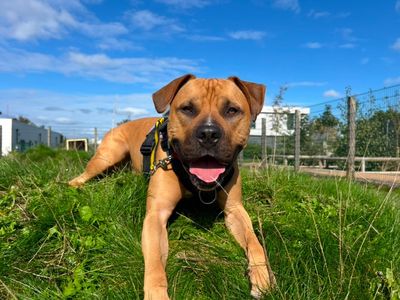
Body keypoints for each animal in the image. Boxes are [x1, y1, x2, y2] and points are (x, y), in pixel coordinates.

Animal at [69, 74, 276, 298]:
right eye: (187, 108)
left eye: (232, 110)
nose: (208, 133)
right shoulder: (156, 215)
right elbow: (155, 264)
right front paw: (157, 294)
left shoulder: (235, 209)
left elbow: (255, 242)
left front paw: (263, 275)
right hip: (106, 156)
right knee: (80, 177)